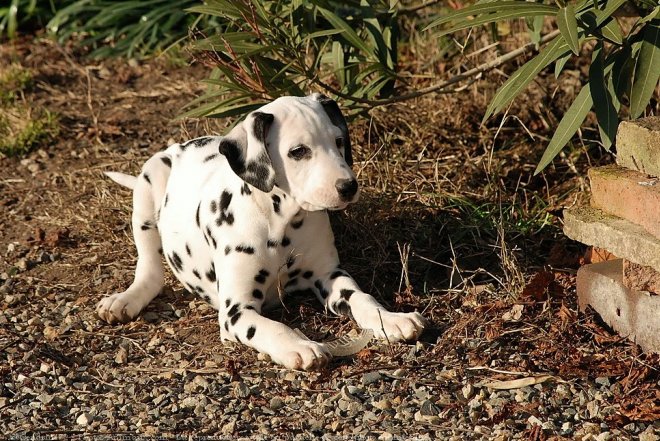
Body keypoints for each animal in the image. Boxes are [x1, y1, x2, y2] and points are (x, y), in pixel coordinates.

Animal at [98, 94, 428, 370]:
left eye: (338, 140)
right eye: (298, 151)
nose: (348, 186)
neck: (281, 221)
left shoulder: (329, 275)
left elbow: (362, 297)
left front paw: (391, 319)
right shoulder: (237, 312)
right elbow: (272, 327)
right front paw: (300, 345)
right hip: (148, 185)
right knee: (150, 270)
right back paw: (124, 300)